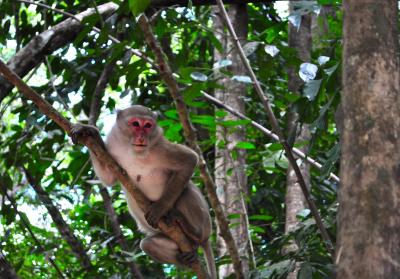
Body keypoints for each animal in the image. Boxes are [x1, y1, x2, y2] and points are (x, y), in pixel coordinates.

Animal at [72, 105, 216, 278]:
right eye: (135, 124)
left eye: (147, 125)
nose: (142, 137)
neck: (134, 152)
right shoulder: (113, 147)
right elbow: (108, 179)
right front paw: (90, 131)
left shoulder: (161, 148)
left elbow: (190, 160)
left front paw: (159, 208)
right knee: (147, 244)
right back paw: (186, 258)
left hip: (205, 223)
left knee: (186, 190)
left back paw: (193, 232)